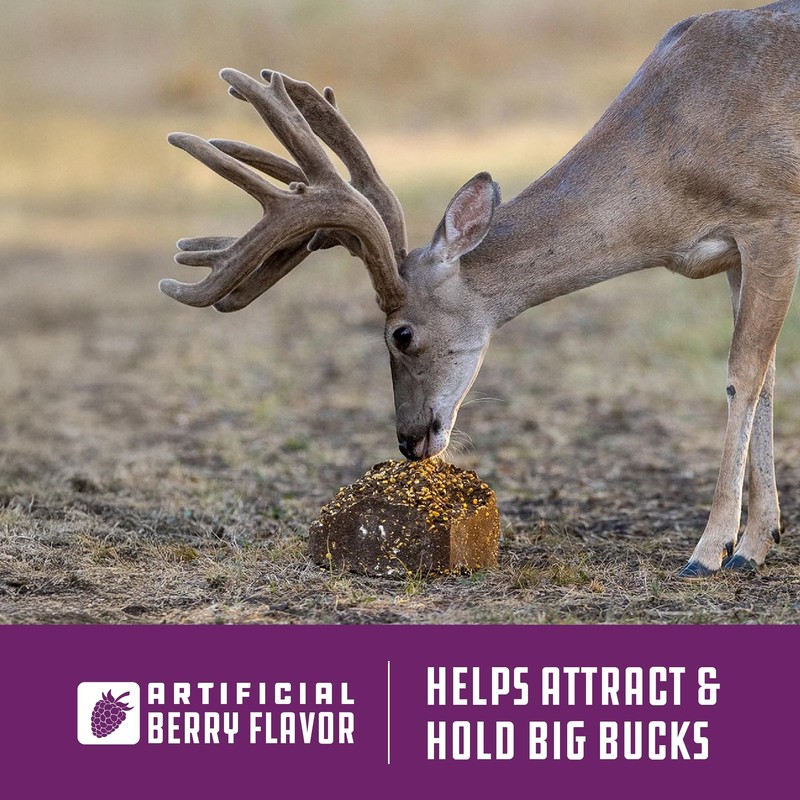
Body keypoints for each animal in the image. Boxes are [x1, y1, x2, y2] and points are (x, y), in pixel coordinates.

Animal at [161, 0, 800, 578]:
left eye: (400, 334)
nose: (409, 440)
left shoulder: (771, 218)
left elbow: (742, 374)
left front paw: (712, 550)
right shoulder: (733, 254)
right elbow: (766, 378)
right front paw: (759, 539)